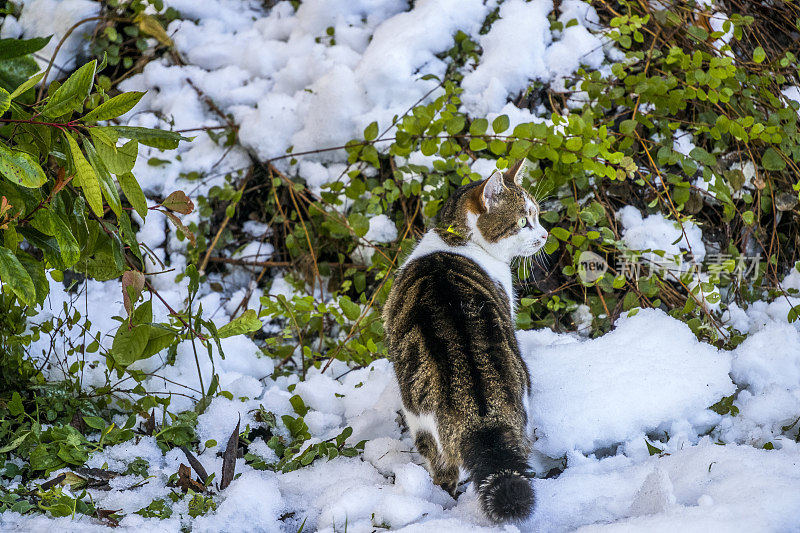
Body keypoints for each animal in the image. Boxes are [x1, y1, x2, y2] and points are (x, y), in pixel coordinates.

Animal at [382, 161, 552, 520]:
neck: (458, 239)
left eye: (538, 214)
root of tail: (482, 419)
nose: (545, 234)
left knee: (444, 473)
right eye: (523, 220)